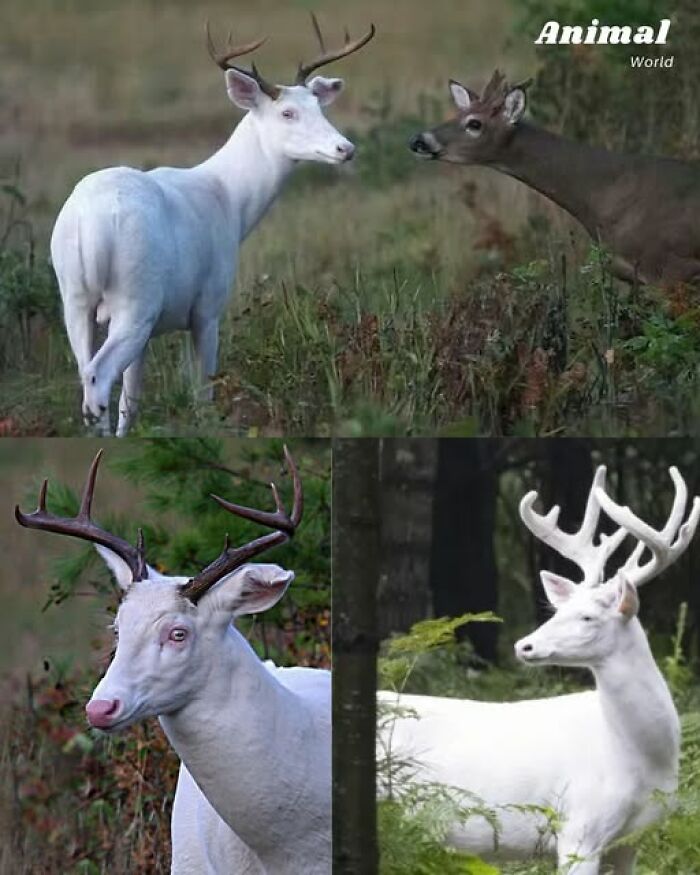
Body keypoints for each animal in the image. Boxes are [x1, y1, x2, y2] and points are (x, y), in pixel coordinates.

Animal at [51, 16, 375, 436]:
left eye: (318, 106)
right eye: (287, 113)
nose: (345, 148)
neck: (229, 202)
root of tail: (91, 225)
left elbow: (131, 401)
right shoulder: (207, 307)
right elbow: (202, 394)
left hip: (75, 297)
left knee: (87, 377)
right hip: (137, 297)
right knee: (97, 376)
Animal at [379, 465, 700, 874]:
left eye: (587, 616)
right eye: (556, 611)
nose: (524, 646)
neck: (639, 758)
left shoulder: (632, 841)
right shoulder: (579, 826)